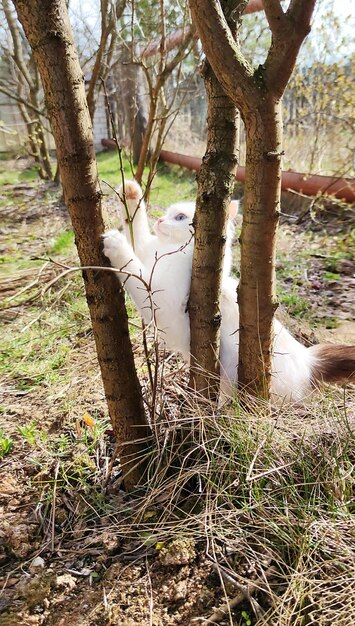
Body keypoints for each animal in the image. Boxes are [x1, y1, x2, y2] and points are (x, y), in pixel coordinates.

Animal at [103, 180, 355, 402]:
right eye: (167, 214)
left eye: (180, 217)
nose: (161, 220)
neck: (174, 251)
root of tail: (308, 360)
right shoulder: (150, 254)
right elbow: (137, 231)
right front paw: (131, 192)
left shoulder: (160, 299)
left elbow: (130, 265)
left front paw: (115, 242)